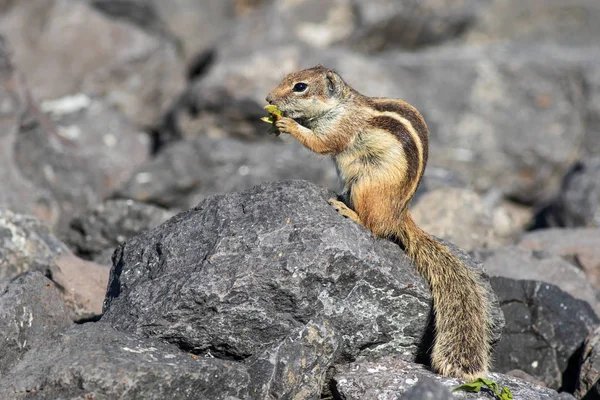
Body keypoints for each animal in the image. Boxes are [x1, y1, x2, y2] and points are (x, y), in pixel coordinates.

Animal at [268, 64, 492, 380]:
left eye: (300, 87)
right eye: (287, 78)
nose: (268, 98)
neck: (340, 106)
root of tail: (398, 213)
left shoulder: (341, 129)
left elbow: (322, 144)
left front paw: (288, 125)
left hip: (366, 185)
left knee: (373, 227)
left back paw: (347, 211)